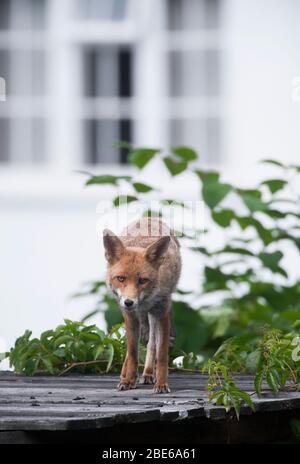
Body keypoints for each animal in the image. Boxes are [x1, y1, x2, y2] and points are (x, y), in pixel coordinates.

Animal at [103, 217, 182, 392]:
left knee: (152, 343)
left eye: (143, 280)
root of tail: (150, 217)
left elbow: (161, 353)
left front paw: (161, 383)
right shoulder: (130, 315)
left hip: (154, 315)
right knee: (132, 349)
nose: (129, 302)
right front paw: (128, 381)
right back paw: (126, 375)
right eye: (121, 278)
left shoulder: (162, 311)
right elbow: (132, 353)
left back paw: (147, 373)